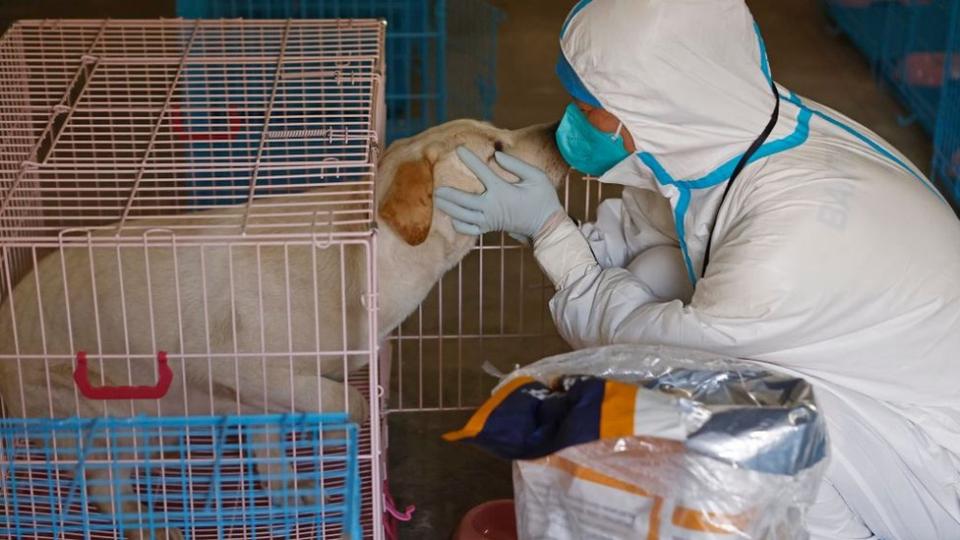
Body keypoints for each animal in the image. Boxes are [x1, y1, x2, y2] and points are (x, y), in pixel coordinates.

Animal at [0, 120, 568, 536]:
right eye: (497, 149)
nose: (555, 127)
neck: (371, 256)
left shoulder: (255, 395)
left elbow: (271, 448)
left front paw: (291, 492)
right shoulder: (251, 369)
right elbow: (348, 400)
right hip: (121, 414)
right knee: (103, 487)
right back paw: (149, 524)